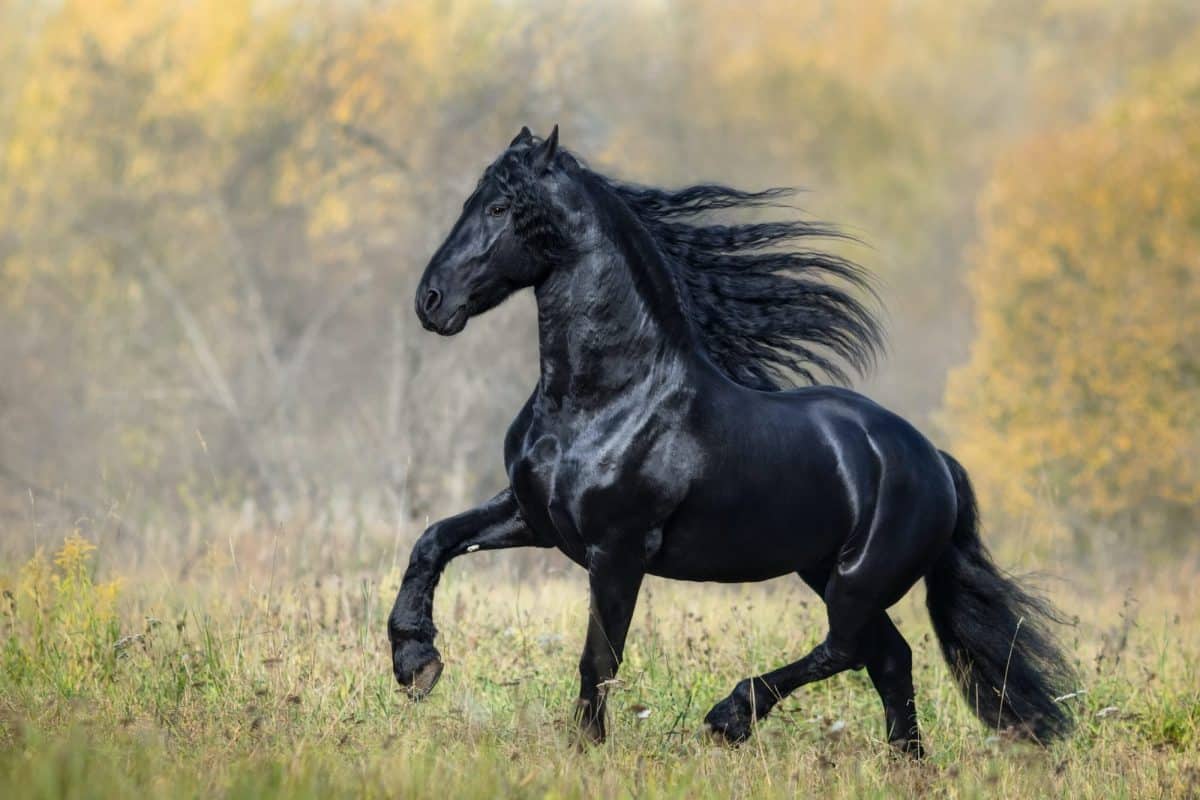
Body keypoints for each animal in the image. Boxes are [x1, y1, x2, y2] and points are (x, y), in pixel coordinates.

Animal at [387, 125, 1076, 755]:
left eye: (500, 208)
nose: (430, 300)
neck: (605, 398)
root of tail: (936, 461)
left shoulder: (618, 550)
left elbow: (600, 658)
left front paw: (587, 750)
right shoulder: (534, 517)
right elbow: (434, 541)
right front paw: (415, 662)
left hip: (858, 577)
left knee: (849, 647)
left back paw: (731, 716)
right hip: (822, 568)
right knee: (888, 658)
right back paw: (905, 763)